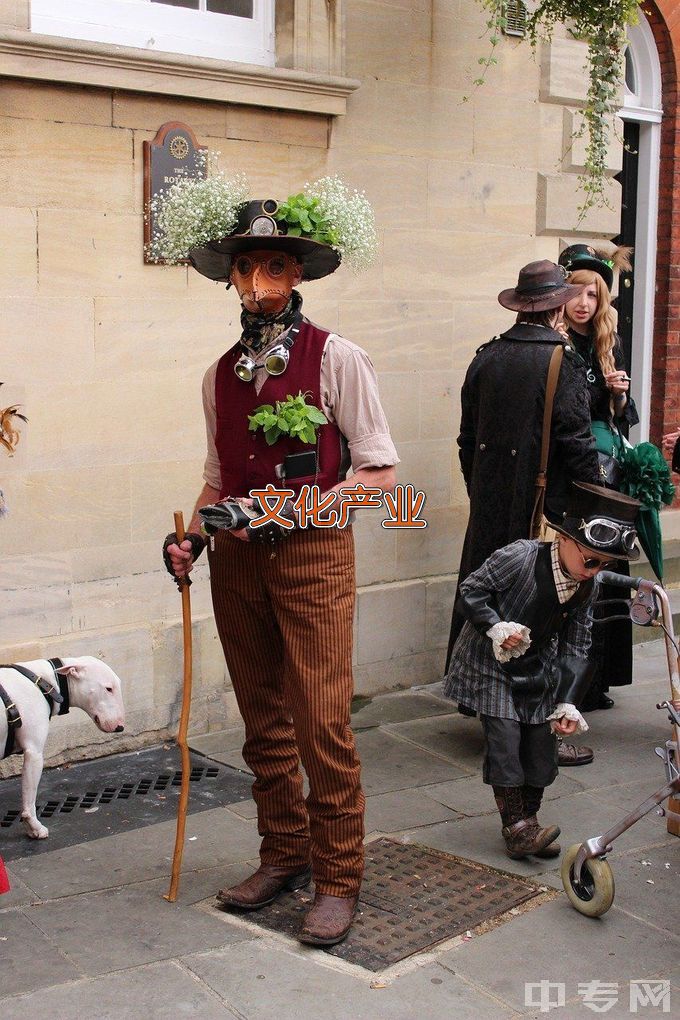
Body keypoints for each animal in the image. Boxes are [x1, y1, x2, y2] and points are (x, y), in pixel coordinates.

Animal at [0, 656, 124, 840]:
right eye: (108, 688)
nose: (120, 727)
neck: (46, 682)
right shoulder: (34, 752)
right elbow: (29, 800)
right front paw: (35, 828)